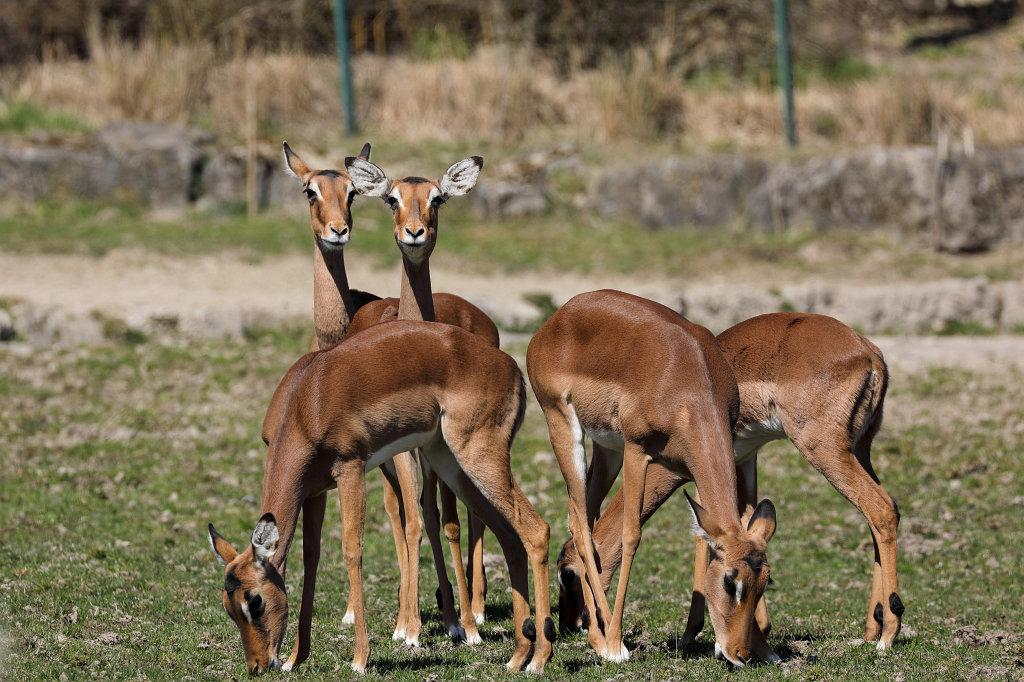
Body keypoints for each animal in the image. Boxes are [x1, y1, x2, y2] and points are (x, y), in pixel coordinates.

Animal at [209, 321, 554, 674]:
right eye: (228, 606)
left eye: (255, 600)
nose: (258, 665)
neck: (306, 403)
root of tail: (510, 367)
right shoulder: (314, 492)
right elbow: (311, 558)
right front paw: (296, 658)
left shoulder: (350, 469)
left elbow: (351, 550)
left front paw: (360, 659)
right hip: (452, 465)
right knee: (510, 538)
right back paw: (517, 656)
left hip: (477, 456)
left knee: (536, 530)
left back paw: (537, 659)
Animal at [345, 154, 492, 641]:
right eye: (392, 198)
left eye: (438, 198)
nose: (414, 233)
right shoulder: (406, 455)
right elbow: (413, 523)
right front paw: (407, 627)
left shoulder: (436, 451)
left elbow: (446, 522)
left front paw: (466, 624)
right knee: (407, 513)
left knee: (458, 514)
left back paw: (466, 610)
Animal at [526, 289, 778, 667]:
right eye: (729, 582)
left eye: (765, 581)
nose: (740, 654)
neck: (688, 382)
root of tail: (559, 316)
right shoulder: (637, 452)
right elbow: (631, 536)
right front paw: (616, 644)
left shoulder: (695, 470)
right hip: (566, 428)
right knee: (581, 527)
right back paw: (606, 644)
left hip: (606, 450)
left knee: (583, 521)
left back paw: (596, 637)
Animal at [556, 312, 902, 654]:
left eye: (567, 574)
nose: (570, 627)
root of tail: (869, 353)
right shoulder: (744, 461)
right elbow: (745, 526)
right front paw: (759, 629)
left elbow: (703, 540)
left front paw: (691, 632)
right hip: (860, 449)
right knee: (883, 513)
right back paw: (872, 628)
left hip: (824, 449)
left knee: (881, 509)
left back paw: (887, 636)